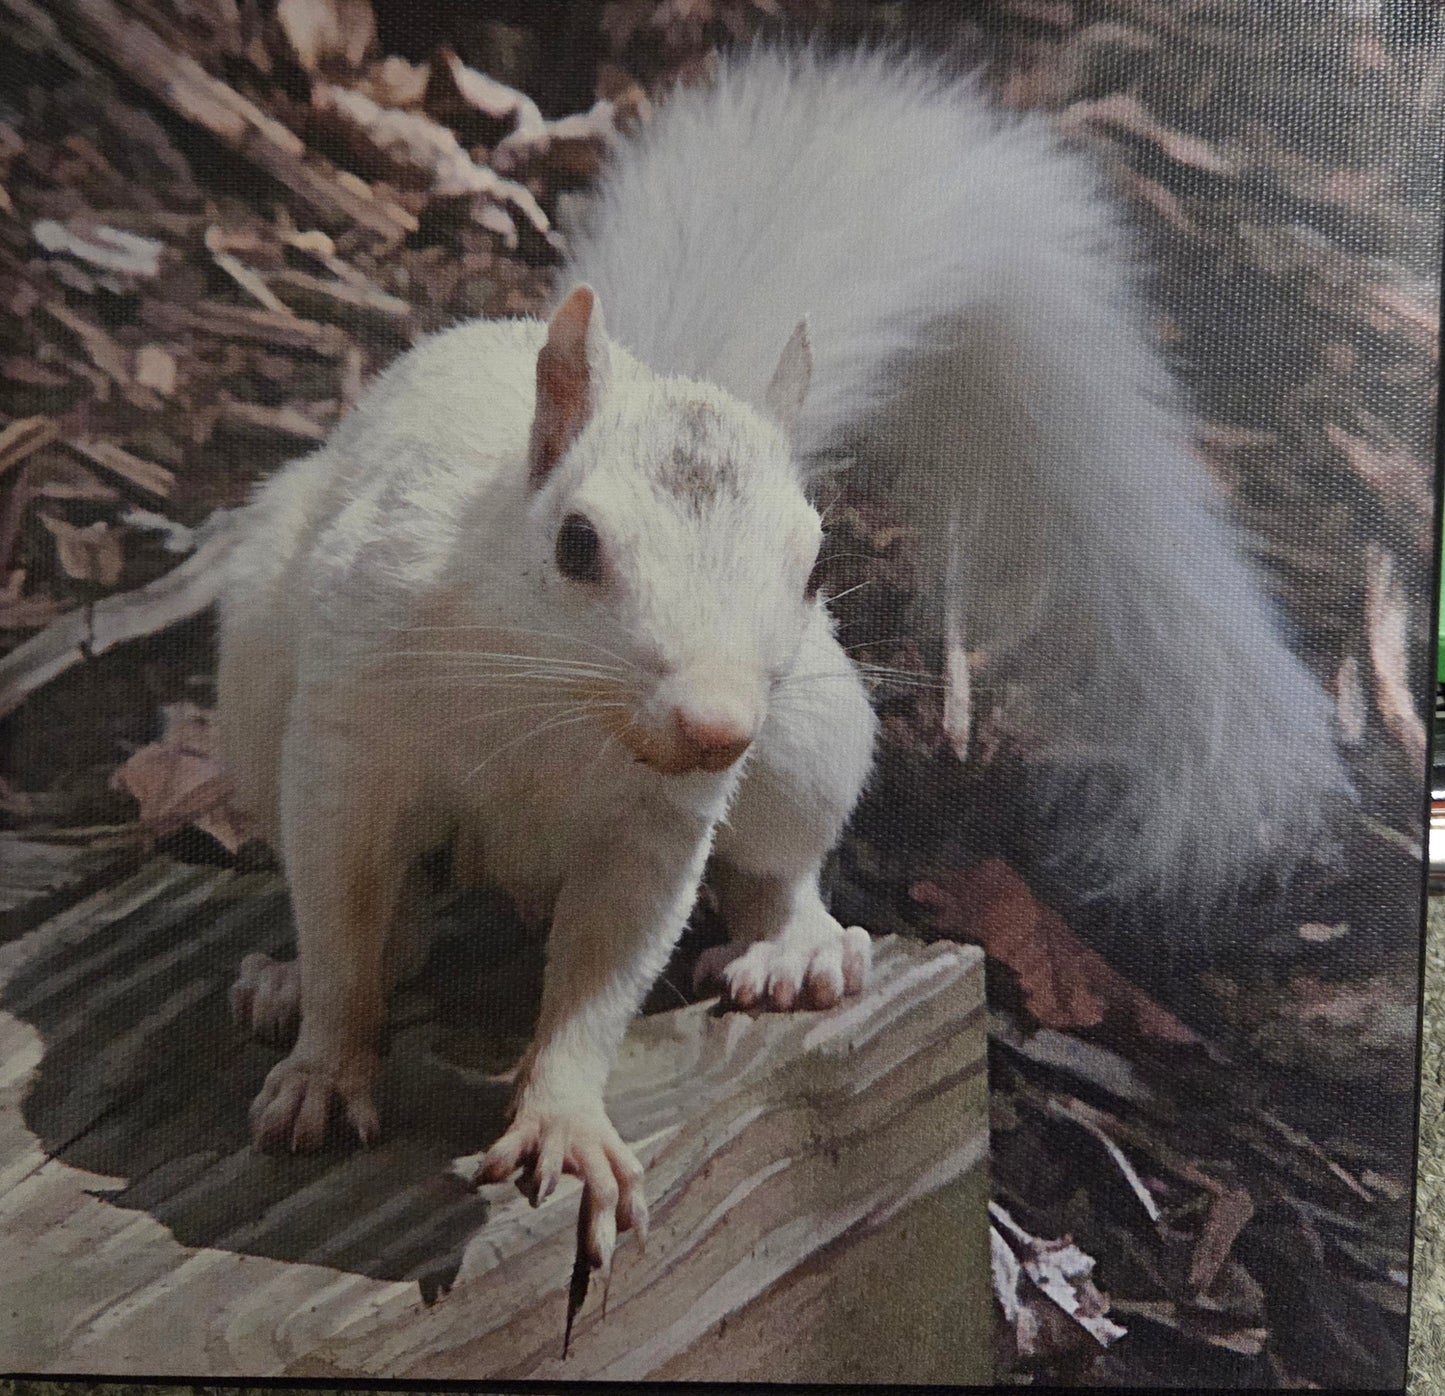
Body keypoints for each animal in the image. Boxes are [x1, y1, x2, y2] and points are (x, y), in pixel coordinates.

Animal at [217, 46, 1351, 1275]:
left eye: (815, 566)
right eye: (575, 544)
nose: (718, 726)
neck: (563, 710)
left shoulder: (655, 828)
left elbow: (603, 977)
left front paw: (564, 1122)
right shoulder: (348, 739)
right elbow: (341, 912)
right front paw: (324, 1062)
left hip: (812, 735)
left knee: (779, 865)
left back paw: (796, 950)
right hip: (257, 674)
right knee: (395, 916)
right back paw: (297, 974)